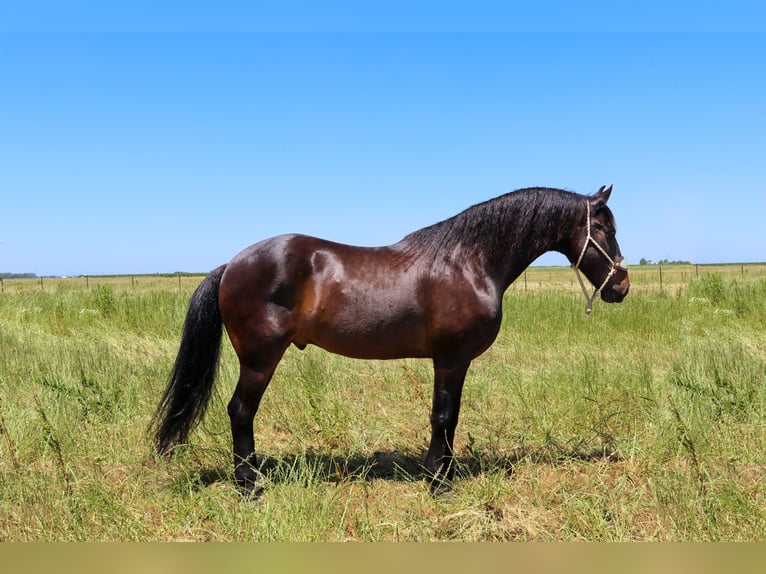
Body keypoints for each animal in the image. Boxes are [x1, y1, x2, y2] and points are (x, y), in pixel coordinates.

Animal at [150, 184, 632, 496]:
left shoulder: (454, 361)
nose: (622, 286)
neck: (469, 262)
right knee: (240, 411)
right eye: (604, 229)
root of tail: (231, 264)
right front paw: (438, 483)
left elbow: (450, 418)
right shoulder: (451, 357)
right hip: (259, 359)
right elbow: (443, 417)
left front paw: (443, 474)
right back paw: (249, 486)